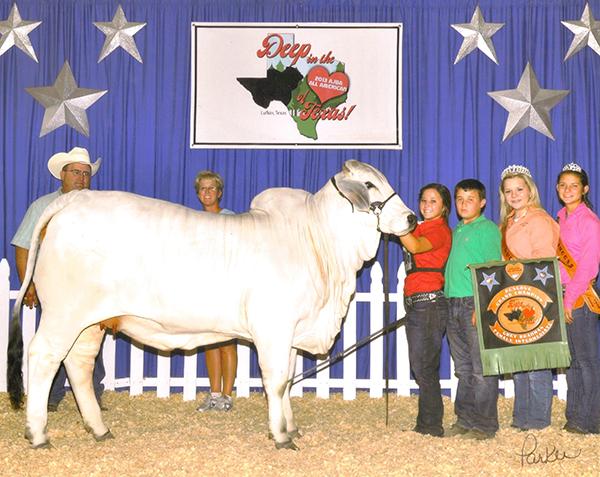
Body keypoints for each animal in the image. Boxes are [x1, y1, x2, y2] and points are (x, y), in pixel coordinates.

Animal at [7, 161, 414, 450]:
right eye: (370, 185)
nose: (411, 218)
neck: (318, 242)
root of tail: (72, 199)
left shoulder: (292, 333)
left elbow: (286, 380)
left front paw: (291, 427)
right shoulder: (274, 328)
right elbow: (276, 380)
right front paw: (281, 436)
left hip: (92, 322)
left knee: (78, 364)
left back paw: (99, 429)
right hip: (63, 314)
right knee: (44, 358)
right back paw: (38, 434)